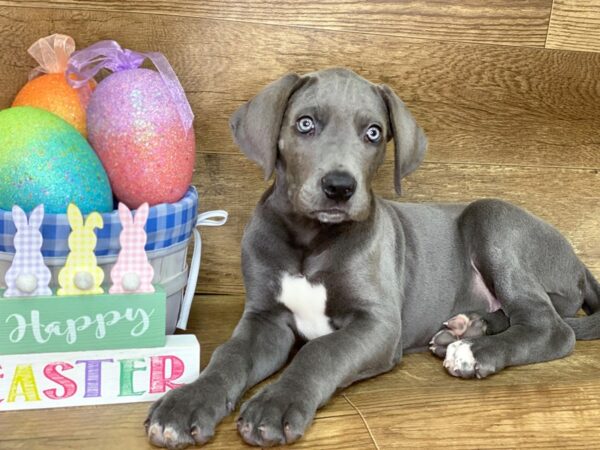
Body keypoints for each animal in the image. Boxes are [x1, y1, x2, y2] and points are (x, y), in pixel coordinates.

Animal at [145, 68, 600, 448]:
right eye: (305, 124)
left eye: (374, 133)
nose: (339, 187)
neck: (311, 240)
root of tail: (578, 263)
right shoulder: (265, 320)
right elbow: (228, 355)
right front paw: (185, 403)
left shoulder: (377, 325)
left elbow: (320, 352)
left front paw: (275, 405)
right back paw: (466, 328)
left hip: (492, 219)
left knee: (553, 327)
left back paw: (475, 352)